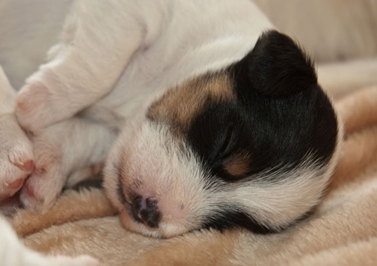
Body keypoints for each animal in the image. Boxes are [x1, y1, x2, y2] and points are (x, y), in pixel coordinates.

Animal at [0, 0, 340, 237]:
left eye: (229, 221)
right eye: (225, 142)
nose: (147, 212)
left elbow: (83, 133)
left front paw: (47, 168)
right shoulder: (134, 10)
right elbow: (103, 60)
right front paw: (35, 104)